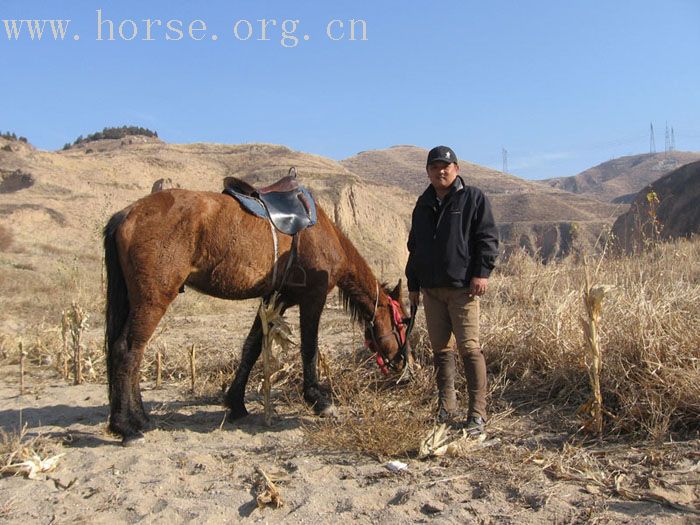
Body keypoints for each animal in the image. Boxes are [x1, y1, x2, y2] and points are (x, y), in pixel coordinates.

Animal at [104, 186, 410, 444]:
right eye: (404, 322)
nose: (404, 368)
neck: (321, 233)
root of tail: (127, 213)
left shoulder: (276, 300)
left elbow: (251, 349)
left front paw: (236, 403)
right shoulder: (313, 298)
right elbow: (310, 349)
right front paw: (319, 401)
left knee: (132, 353)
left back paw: (140, 418)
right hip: (152, 300)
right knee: (127, 350)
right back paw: (126, 427)